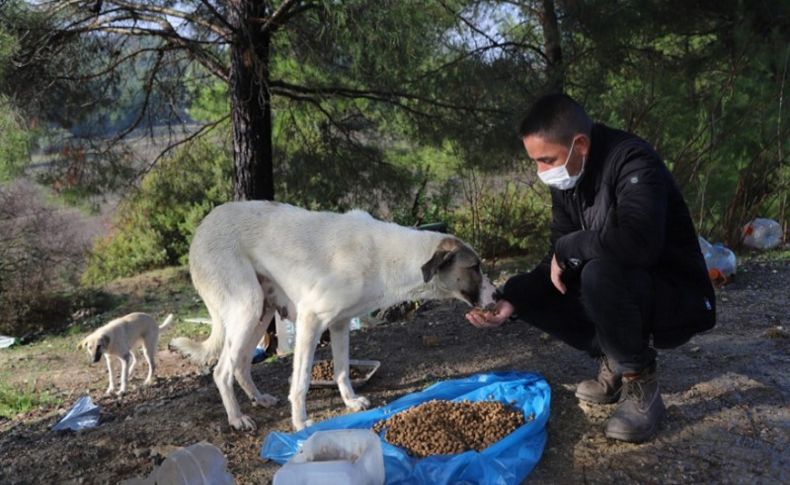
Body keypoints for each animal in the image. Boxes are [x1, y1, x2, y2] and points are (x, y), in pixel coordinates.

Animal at [172, 201, 496, 432]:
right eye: (475, 267)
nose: (496, 296)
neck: (387, 258)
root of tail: (202, 228)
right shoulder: (310, 319)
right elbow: (301, 381)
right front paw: (300, 422)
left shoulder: (340, 324)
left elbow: (342, 370)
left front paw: (350, 401)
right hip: (247, 307)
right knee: (221, 371)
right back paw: (237, 418)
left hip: (261, 312)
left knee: (239, 364)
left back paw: (258, 399)